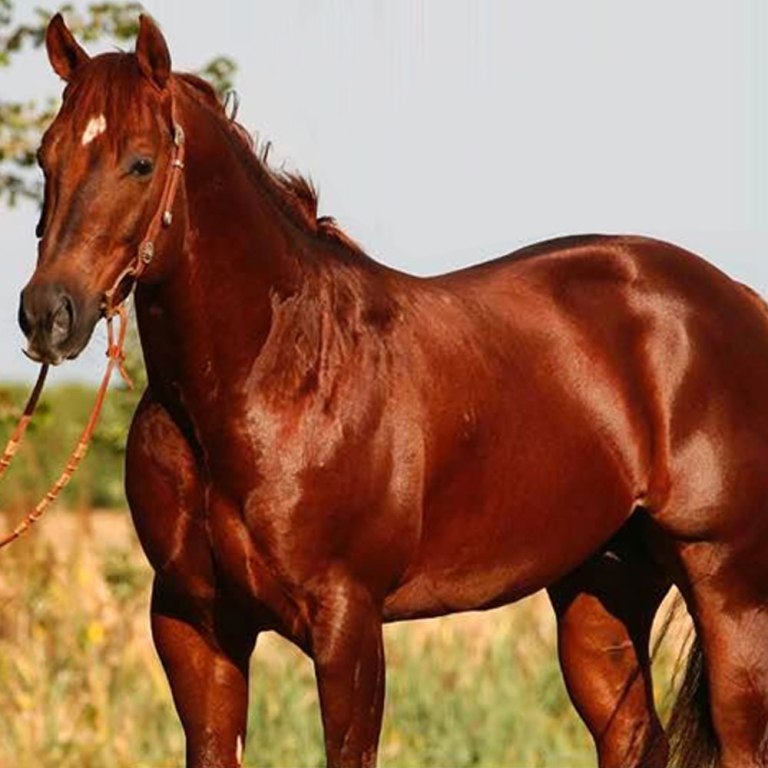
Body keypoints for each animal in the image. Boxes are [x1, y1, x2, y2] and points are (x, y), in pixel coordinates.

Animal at [17, 13, 768, 768]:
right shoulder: (193, 623)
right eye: (47, 157)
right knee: (634, 735)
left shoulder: (348, 623)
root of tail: (737, 299)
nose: (48, 313)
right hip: (602, 586)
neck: (263, 380)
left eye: (141, 162)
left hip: (729, 590)